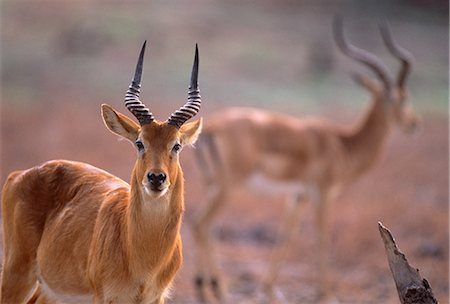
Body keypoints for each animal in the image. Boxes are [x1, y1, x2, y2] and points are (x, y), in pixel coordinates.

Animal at [1, 41, 202, 302]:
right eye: (139, 143)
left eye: (176, 145)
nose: (156, 177)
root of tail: (18, 174)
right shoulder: (104, 296)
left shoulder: (155, 298)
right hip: (16, 273)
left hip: (50, 292)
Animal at [192, 19, 420, 302]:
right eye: (403, 97)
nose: (413, 123)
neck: (342, 144)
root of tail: (210, 128)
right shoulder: (323, 193)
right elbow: (322, 237)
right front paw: (326, 294)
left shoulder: (298, 195)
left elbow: (285, 235)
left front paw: (269, 289)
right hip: (228, 188)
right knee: (202, 224)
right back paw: (217, 291)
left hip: (214, 186)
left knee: (202, 225)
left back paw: (206, 288)